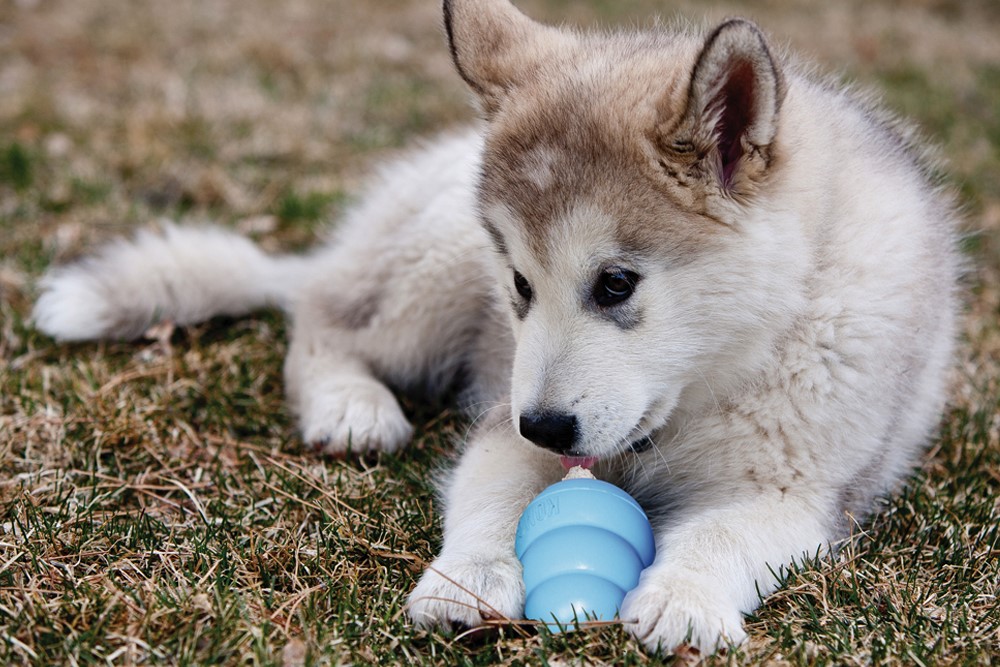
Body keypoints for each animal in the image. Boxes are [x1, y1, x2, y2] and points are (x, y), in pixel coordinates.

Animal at [35, 0, 960, 656]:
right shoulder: (502, 417)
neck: (719, 374)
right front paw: (469, 580)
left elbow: (725, 531)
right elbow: (490, 496)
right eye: (519, 283)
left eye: (616, 283)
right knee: (321, 318)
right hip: (432, 269)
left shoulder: (801, 493)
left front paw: (683, 597)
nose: (546, 425)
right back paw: (349, 405)